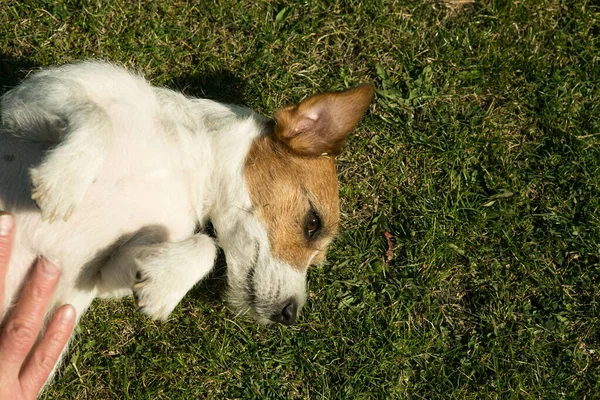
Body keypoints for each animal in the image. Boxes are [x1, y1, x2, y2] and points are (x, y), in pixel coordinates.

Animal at [0, 61, 372, 380]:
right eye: (313, 223)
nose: (289, 315)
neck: (184, 159)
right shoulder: (33, 100)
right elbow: (96, 116)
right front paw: (65, 179)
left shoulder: (105, 271)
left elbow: (207, 246)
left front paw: (163, 285)